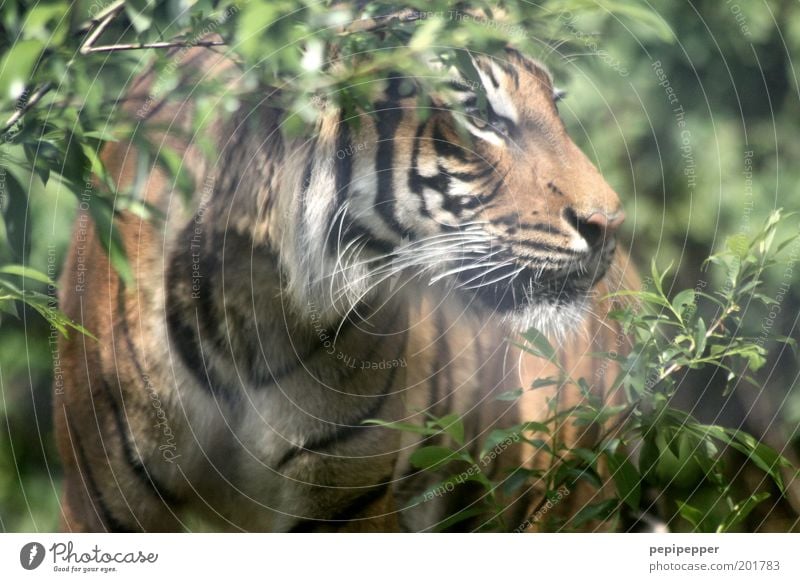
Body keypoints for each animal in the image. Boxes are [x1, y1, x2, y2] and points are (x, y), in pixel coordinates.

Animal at [54, 41, 636, 532]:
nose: (610, 223)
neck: (253, 307)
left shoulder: (345, 501)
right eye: (477, 114)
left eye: (555, 106)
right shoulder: (104, 502)